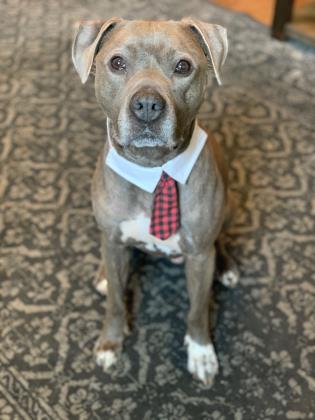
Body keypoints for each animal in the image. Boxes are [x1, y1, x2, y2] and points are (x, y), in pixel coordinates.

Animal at [71, 17, 239, 384]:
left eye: (183, 66)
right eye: (117, 63)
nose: (147, 104)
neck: (152, 169)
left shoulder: (200, 256)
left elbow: (198, 309)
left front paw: (201, 352)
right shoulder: (114, 241)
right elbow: (116, 301)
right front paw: (111, 343)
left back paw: (228, 267)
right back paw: (103, 275)